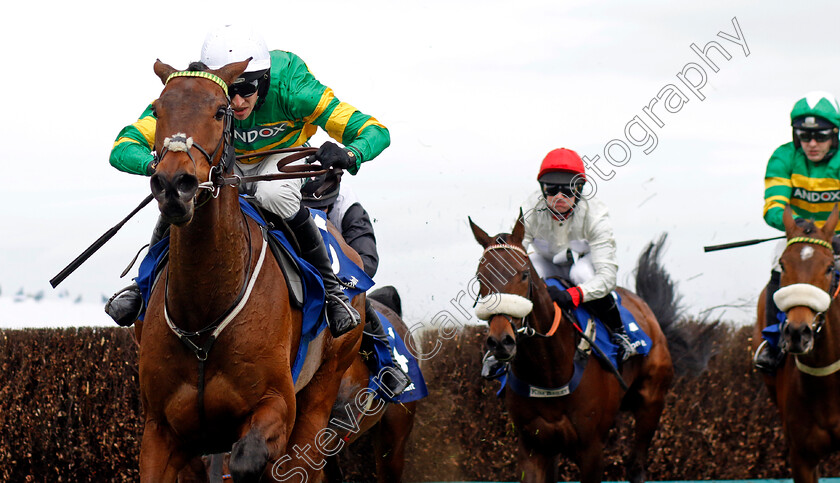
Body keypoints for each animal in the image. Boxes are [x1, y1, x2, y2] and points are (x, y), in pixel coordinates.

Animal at [470, 215, 672, 483]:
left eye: (524, 274)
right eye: (480, 278)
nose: (501, 341)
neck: (549, 372)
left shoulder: (591, 450)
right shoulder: (533, 447)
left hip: (652, 402)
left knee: (636, 466)